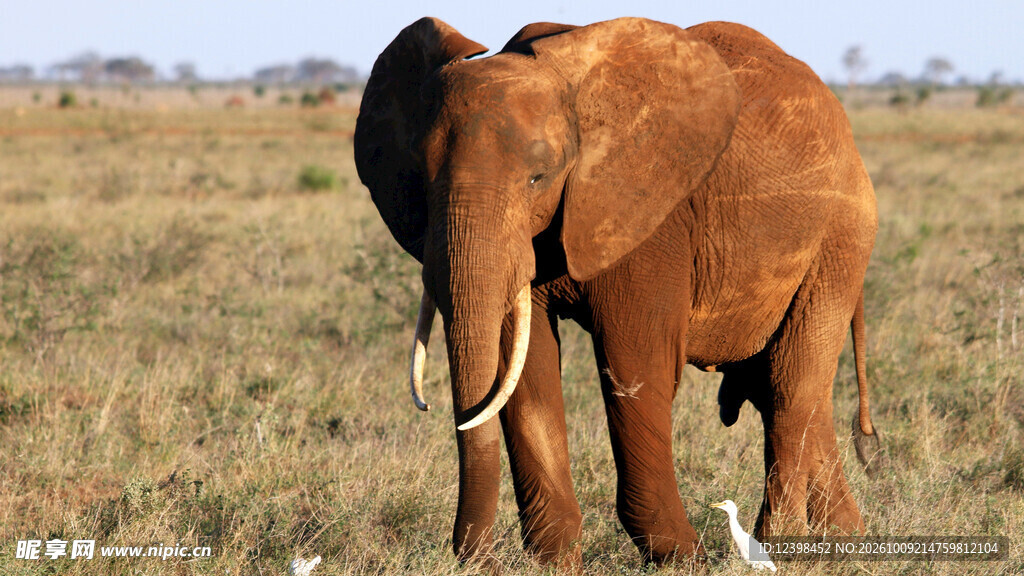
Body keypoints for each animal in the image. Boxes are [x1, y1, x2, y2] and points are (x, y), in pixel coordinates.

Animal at [354, 16, 880, 569]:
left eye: (538, 178)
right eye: (420, 180)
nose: (481, 559)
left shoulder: (652, 216)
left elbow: (636, 365)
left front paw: (683, 559)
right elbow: (523, 370)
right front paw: (555, 563)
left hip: (841, 237)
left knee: (790, 384)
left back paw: (778, 547)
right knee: (785, 388)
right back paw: (841, 541)